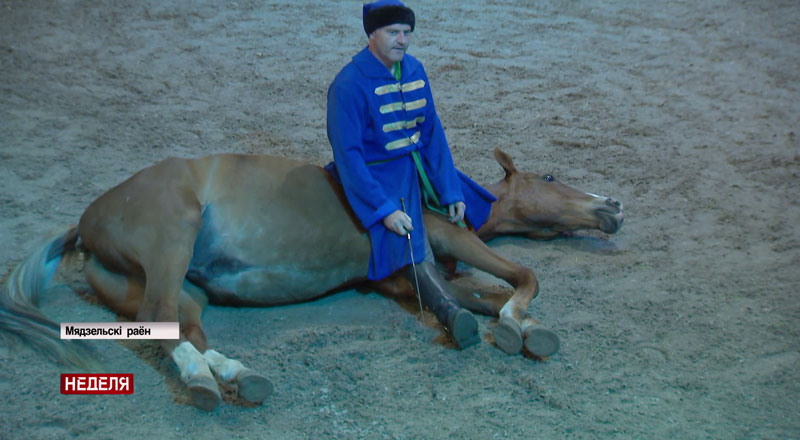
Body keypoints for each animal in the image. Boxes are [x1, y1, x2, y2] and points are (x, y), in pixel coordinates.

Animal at [0, 149, 620, 412]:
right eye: (550, 177)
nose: (613, 203)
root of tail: (86, 221)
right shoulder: (449, 240)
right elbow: (524, 276)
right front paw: (518, 323)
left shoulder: (404, 281)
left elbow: (487, 296)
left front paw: (516, 324)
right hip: (171, 241)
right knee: (162, 321)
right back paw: (212, 383)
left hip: (168, 286)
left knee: (180, 331)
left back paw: (233, 376)